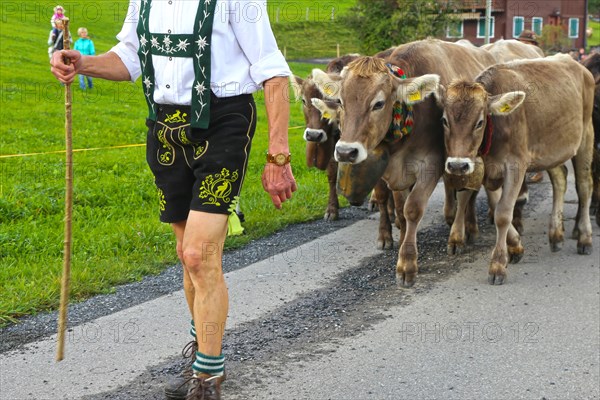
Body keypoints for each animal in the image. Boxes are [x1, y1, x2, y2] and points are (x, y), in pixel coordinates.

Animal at [312, 39, 494, 286]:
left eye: (378, 104)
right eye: (340, 101)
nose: (345, 152)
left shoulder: (431, 165)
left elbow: (413, 209)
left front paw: (407, 263)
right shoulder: (395, 172)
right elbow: (399, 209)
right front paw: (398, 239)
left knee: (468, 193)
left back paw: (467, 230)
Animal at [436, 54, 596, 284]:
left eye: (480, 122)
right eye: (444, 120)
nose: (457, 165)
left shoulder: (516, 166)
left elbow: (503, 213)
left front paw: (497, 265)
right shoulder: (483, 167)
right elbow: (489, 204)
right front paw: (515, 247)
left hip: (586, 136)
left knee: (584, 186)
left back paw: (584, 238)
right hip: (551, 149)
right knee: (560, 180)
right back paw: (555, 234)